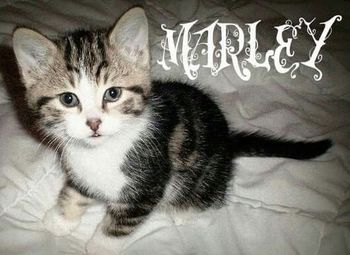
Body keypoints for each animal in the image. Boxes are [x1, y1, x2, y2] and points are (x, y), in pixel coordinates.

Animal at [12, 6, 332, 237]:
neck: (102, 152)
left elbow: (117, 227)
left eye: (113, 93)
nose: (94, 123)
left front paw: (97, 246)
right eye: (68, 99)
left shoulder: (148, 187)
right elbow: (74, 193)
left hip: (204, 179)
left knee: (210, 200)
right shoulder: (82, 174)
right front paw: (60, 220)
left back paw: (184, 213)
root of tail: (228, 140)